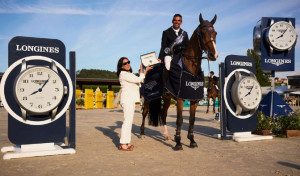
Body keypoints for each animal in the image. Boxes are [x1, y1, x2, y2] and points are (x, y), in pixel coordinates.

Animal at [141, 13, 218, 150]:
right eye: (202, 33)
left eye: (215, 33)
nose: (213, 55)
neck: (191, 68)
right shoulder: (180, 99)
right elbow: (180, 120)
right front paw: (178, 143)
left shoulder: (194, 99)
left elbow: (192, 119)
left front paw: (192, 140)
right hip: (148, 97)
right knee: (144, 113)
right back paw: (142, 134)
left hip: (166, 98)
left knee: (163, 114)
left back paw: (166, 136)